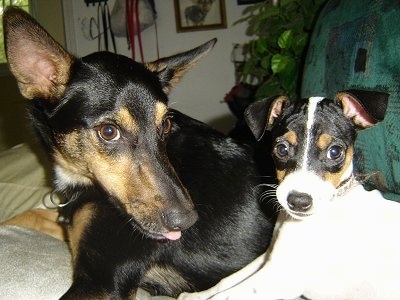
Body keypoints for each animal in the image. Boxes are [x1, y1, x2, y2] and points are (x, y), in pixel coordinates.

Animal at [3, 7, 276, 300]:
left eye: (165, 124)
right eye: (108, 132)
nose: (186, 221)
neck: (81, 181)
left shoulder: (101, 281)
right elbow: (27, 215)